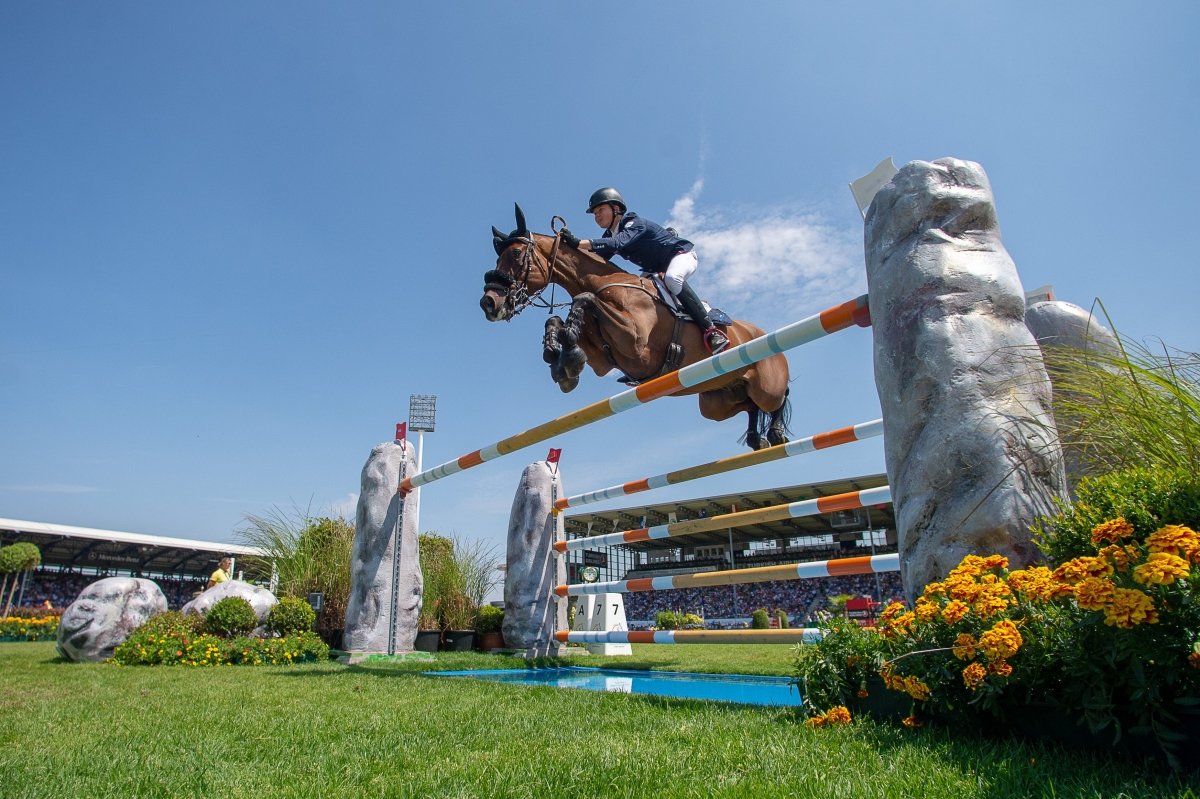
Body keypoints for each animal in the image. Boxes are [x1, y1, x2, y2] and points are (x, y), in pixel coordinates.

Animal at [477, 202, 796, 448]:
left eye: (516, 254)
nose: (488, 303)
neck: (606, 283)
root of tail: (759, 332)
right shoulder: (604, 358)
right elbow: (560, 321)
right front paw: (562, 358)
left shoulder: (636, 344)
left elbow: (586, 298)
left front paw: (564, 353)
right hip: (716, 401)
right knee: (749, 405)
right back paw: (756, 437)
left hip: (765, 386)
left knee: (777, 398)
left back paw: (775, 432)